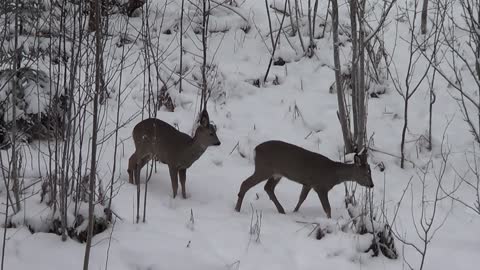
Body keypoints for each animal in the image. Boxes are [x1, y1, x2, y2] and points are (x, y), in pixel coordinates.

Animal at [234, 140, 374, 218]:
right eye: (365, 174)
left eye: (370, 171)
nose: (372, 185)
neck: (333, 174)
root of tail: (255, 149)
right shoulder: (320, 186)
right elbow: (327, 208)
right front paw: (329, 220)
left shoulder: (308, 183)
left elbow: (301, 198)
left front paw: (295, 212)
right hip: (263, 168)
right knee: (245, 183)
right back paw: (237, 209)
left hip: (276, 173)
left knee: (268, 188)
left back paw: (282, 211)